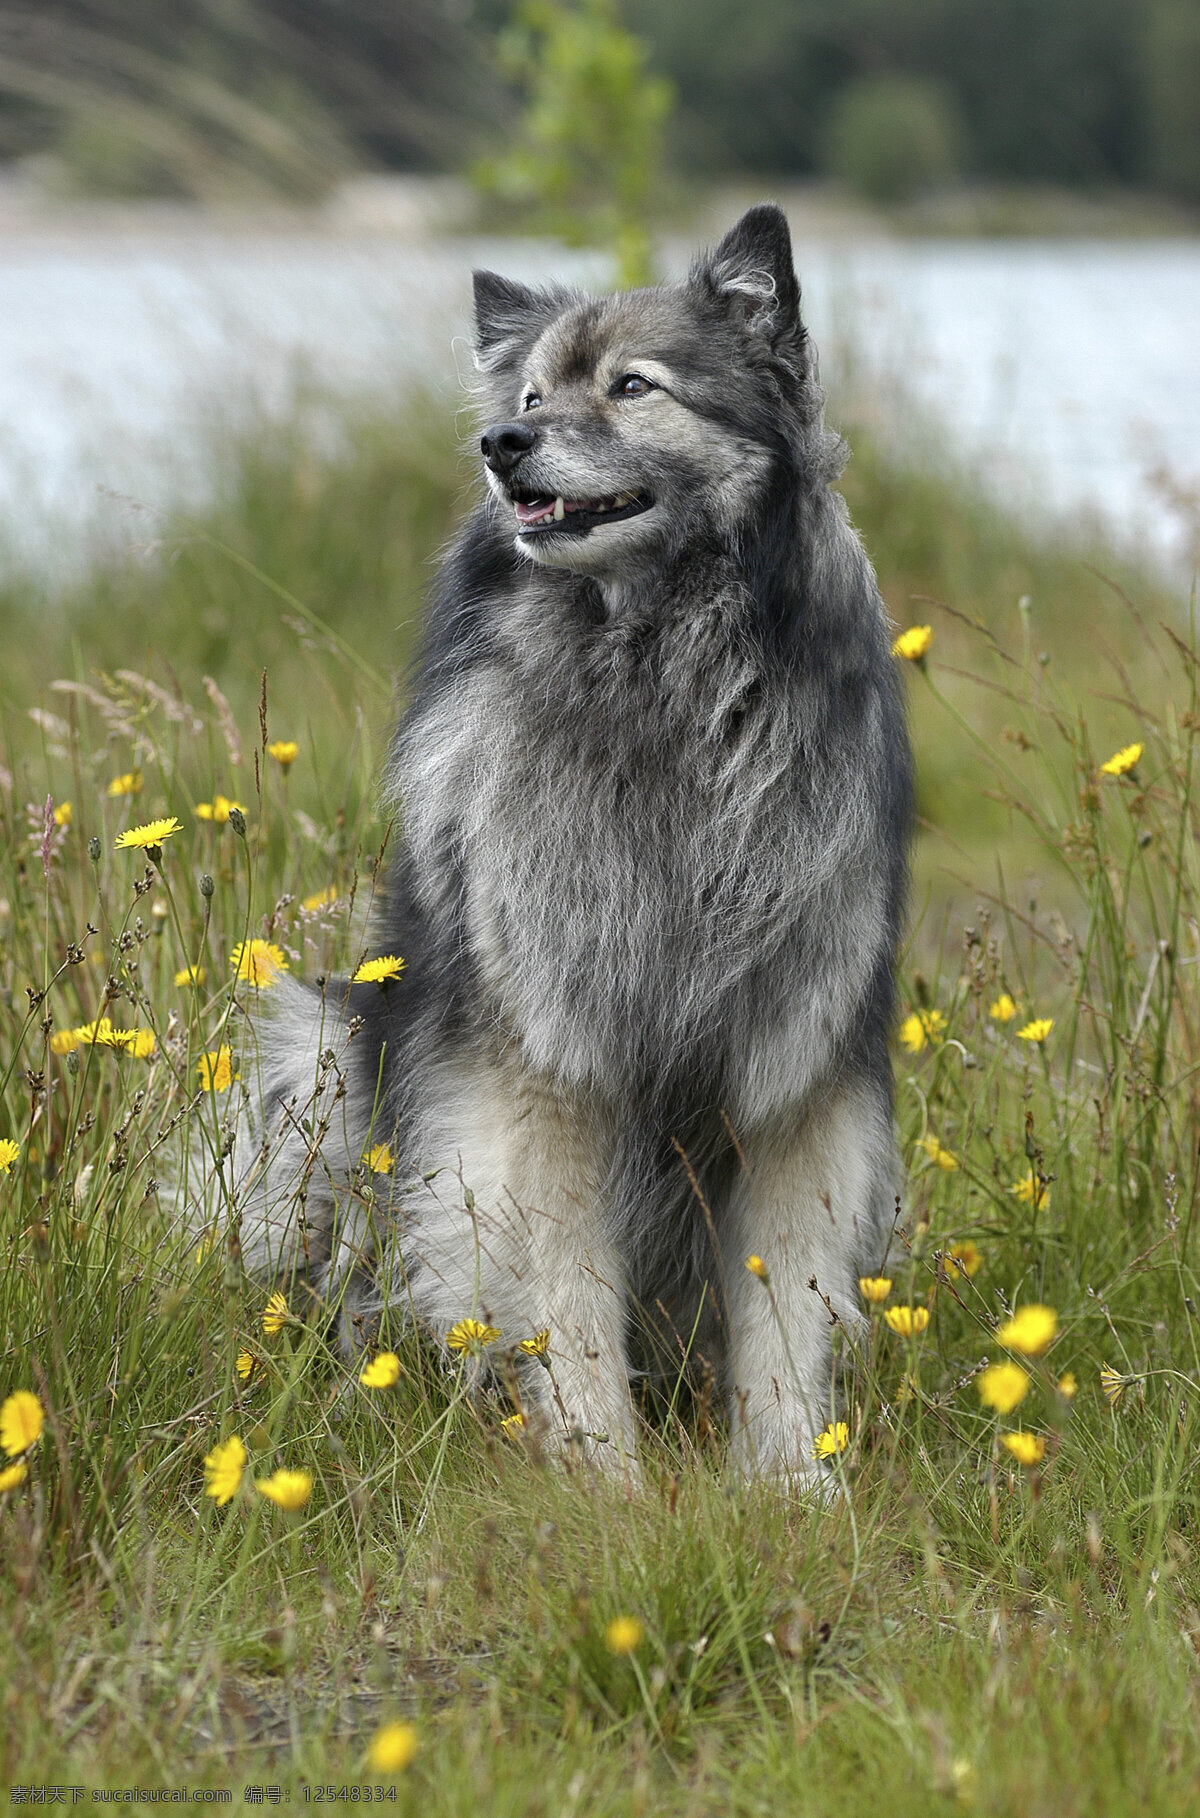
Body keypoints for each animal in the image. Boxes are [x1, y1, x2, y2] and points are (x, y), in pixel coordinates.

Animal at [213, 206, 909, 1483]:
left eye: (633, 387)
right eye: (532, 393)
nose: (501, 441)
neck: (662, 678)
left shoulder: (794, 1068)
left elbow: (785, 1301)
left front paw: (791, 1481)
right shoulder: (544, 1067)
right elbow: (568, 1296)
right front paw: (603, 1478)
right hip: (319, 1056)